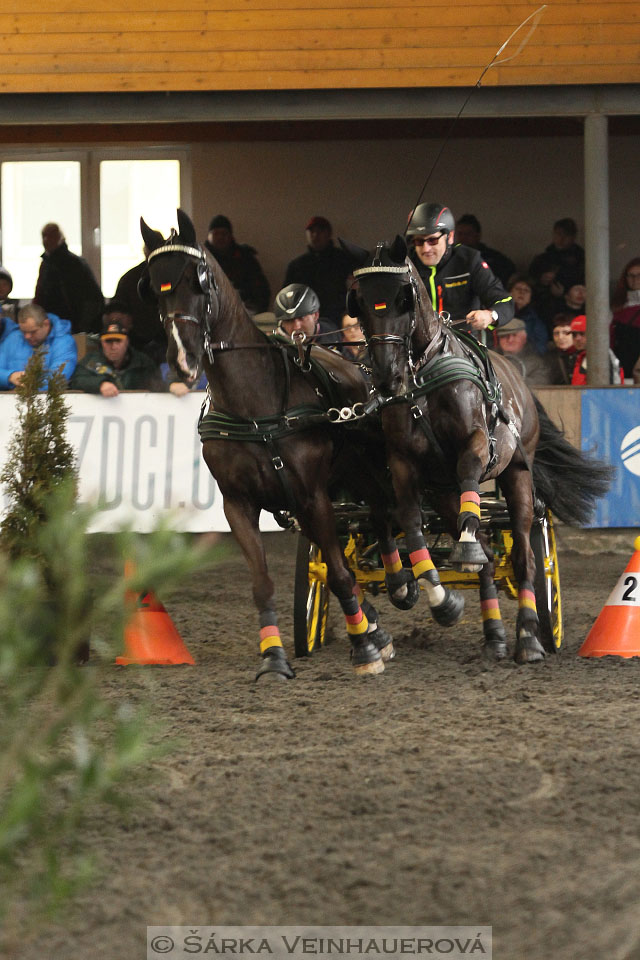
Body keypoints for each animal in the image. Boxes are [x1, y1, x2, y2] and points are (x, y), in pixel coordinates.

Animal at [138, 212, 462, 676]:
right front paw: (274, 656)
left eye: (197, 279)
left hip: (359, 473)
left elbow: (341, 572)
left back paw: (399, 587)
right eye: (152, 284)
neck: (255, 407)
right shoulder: (239, 504)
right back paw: (375, 621)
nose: (182, 358)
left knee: (384, 513)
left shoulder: (313, 493)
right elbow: (267, 582)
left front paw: (364, 649)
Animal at [342, 236, 612, 664]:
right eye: (360, 301)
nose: (386, 376)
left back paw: (528, 638)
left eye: (403, 298)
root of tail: (519, 380)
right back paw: (494, 636)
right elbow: (410, 523)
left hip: (518, 477)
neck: (423, 375)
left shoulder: (474, 444)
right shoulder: (403, 463)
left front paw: (462, 555)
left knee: (523, 558)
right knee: (486, 558)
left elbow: (469, 473)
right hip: (444, 493)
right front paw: (434, 596)